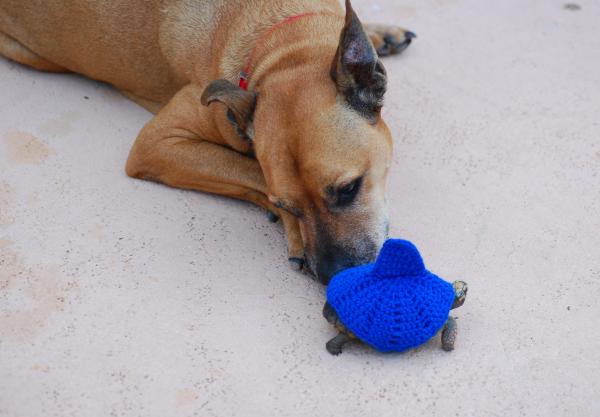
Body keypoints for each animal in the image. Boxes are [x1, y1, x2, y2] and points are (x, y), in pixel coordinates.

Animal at [0, 0, 414, 282]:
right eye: (287, 205)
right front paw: (292, 231)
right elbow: (249, 169)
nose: (333, 277)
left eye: (349, 189)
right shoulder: (157, 143)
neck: (283, 45)